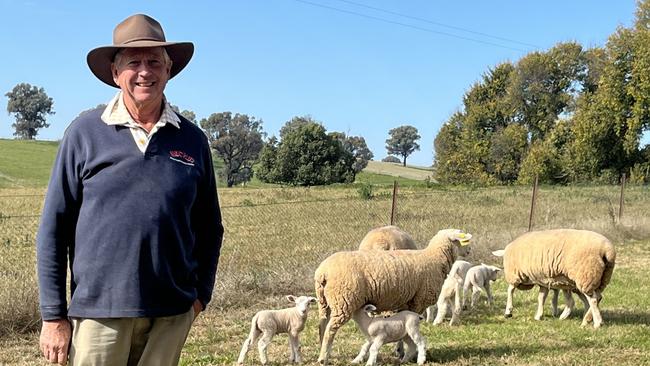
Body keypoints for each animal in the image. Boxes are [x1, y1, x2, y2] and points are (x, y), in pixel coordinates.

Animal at [312, 227, 468, 364]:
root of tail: (323, 271)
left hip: (324, 302)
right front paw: (406, 352)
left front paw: (400, 351)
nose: (469, 250)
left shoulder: (403, 302)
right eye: (461, 239)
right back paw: (323, 358)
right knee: (330, 330)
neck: (434, 259)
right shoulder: (417, 302)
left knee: (322, 325)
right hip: (344, 301)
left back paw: (322, 352)